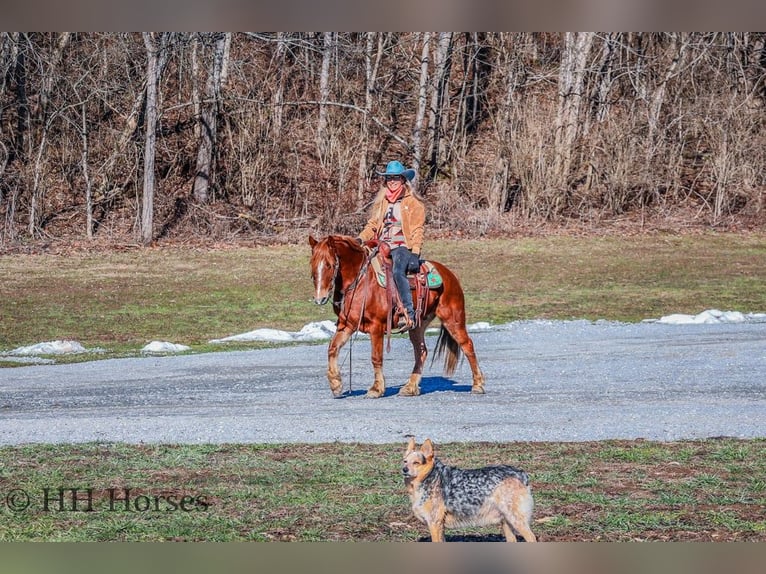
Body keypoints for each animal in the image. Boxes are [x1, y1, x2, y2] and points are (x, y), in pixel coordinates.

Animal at [308, 236, 484, 398]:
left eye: (329, 264)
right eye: (312, 265)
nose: (319, 298)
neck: (360, 281)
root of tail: (449, 275)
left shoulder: (376, 327)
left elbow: (376, 357)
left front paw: (376, 389)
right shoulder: (347, 325)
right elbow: (332, 348)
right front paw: (336, 384)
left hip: (453, 319)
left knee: (467, 345)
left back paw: (478, 384)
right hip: (418, 325)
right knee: (421, 352)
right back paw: (410, 387)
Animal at [402, 440, 540, 544]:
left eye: (416, 462)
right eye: (405, 461)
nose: (404, 469)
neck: (430, 477)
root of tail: (521, 474)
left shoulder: (434, 523)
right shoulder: (440, 527)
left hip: (516, 520)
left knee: (532, 538)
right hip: (506, 521)